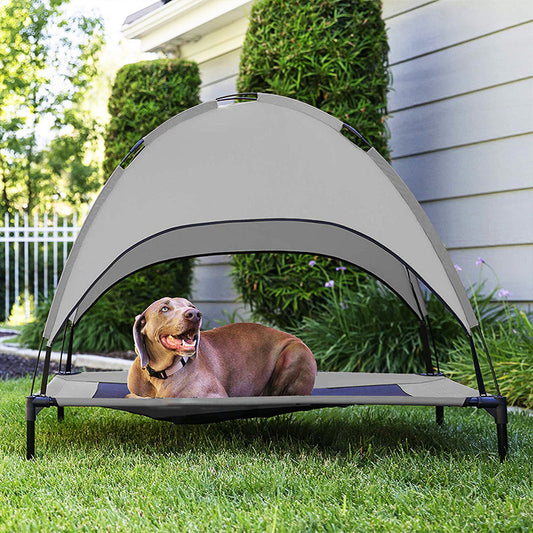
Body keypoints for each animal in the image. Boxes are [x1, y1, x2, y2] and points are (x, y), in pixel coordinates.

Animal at [125, 298, 316, 396]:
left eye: (191, 306)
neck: (160, 374)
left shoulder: (214, 395)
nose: (195, 314)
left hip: (295, 353)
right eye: (164, 308)